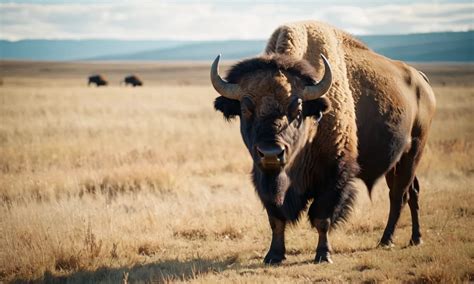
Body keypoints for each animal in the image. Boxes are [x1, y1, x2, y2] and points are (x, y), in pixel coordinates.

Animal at [211, 21, 436, 266]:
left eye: (298, 108)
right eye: (245, 108)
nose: (271, 153)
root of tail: (422, 81)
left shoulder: (334, 174)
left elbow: (322, 218)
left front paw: (323, 255)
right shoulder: (264, 178)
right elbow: (276, 219)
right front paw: (273, 255)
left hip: (413, 152)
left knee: (398, 196)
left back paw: (388, 240)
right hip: (397, 163)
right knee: (412, 191)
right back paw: (416, 238)